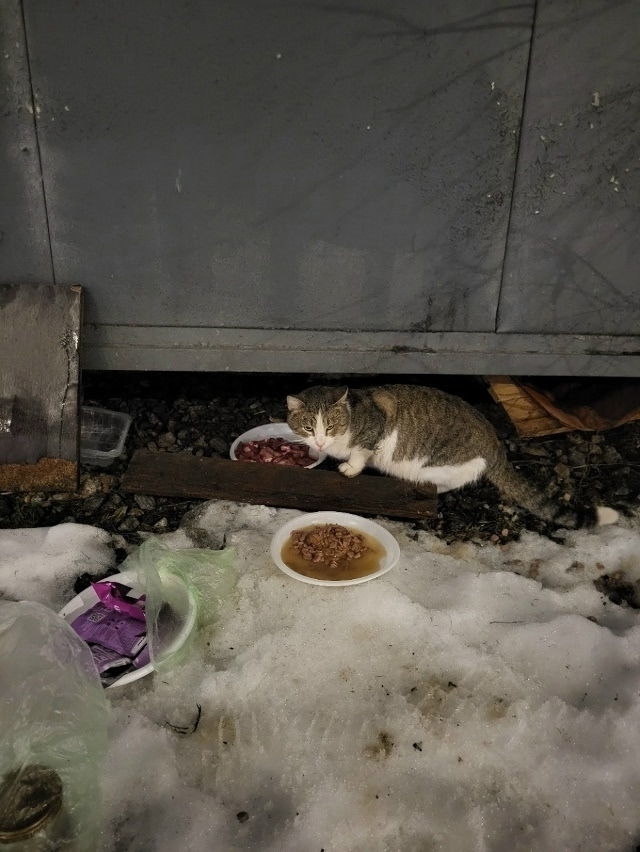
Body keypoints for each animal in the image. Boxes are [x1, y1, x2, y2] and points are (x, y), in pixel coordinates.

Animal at [286, 384, 619, 529]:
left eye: (330, 426)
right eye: (308, 427)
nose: (319, 440)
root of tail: (495, 445)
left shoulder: (375, 431)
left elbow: (359, 453)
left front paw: (350, 468)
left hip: (444, 465)